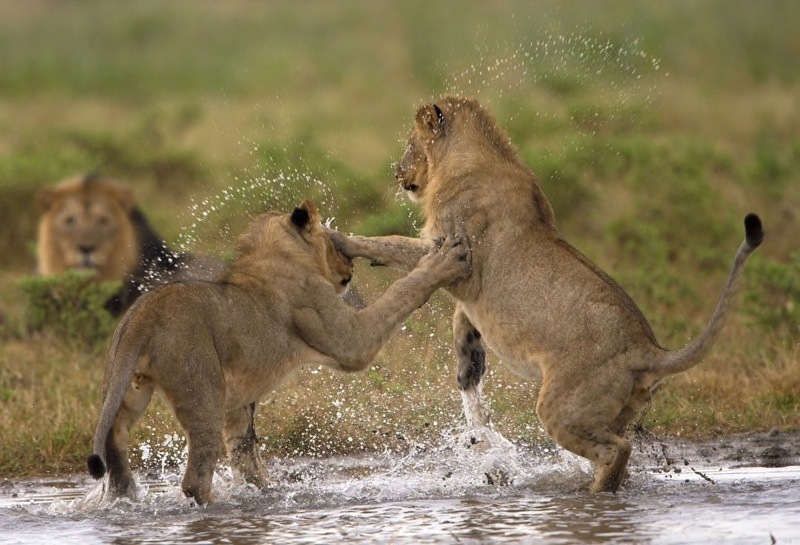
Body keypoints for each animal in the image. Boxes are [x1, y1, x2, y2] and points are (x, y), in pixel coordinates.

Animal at [86, 200, 470, 505]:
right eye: (333, 244)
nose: (350, 268)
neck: (276, 253)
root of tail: (142, 317)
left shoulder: (239, 399)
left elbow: (246, 452)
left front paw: (267, 491)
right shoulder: (348, 341)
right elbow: (401, 293)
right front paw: (443, 260)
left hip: (124, 388)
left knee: (115, 447)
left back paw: (125, 498)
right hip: (201, 393)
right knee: (195, 478)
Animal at [331, 96, 764, 493]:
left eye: (410, 143)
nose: (397, 173)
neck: (469, 157)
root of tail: (648, 348)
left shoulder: (455, 255)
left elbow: (392, 245)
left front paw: (340, 240)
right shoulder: (466, 287)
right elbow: (462, 325)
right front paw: (467, 365)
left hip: (560, 406)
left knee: (617, 450)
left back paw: (593, 495)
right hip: (617, 411)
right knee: (616, 447)